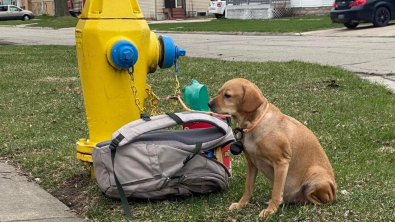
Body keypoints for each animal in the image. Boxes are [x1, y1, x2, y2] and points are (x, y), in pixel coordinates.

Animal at [209, 78, 336, 217]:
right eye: (219, 92)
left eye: (227, 95)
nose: (209, 104)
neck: (253, 124)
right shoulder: (251, 163)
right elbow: (248, 188)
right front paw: (241, 204)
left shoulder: (281, 162)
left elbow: (276, 192)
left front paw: (270, 210)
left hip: (315, 177)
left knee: (317, 201)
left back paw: (306, 207)